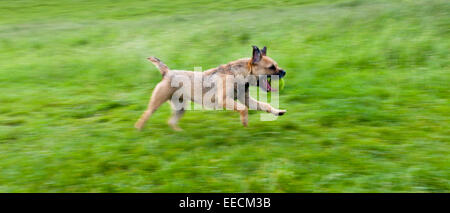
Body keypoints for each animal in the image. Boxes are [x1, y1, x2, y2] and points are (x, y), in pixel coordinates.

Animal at [135, 45, 286, 131]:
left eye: (276, 65)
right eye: (271, 67)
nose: (284, 72)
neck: (239, 74)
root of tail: (167, 72)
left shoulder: (246, 99)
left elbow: (265, 105)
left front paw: (278, 111)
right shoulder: (224, 100)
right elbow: (243, 109)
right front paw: (244, 122)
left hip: (180, 108)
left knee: (171, 122)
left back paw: (179, 133)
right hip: (156, 104)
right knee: (144, 117)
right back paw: (139, 131)